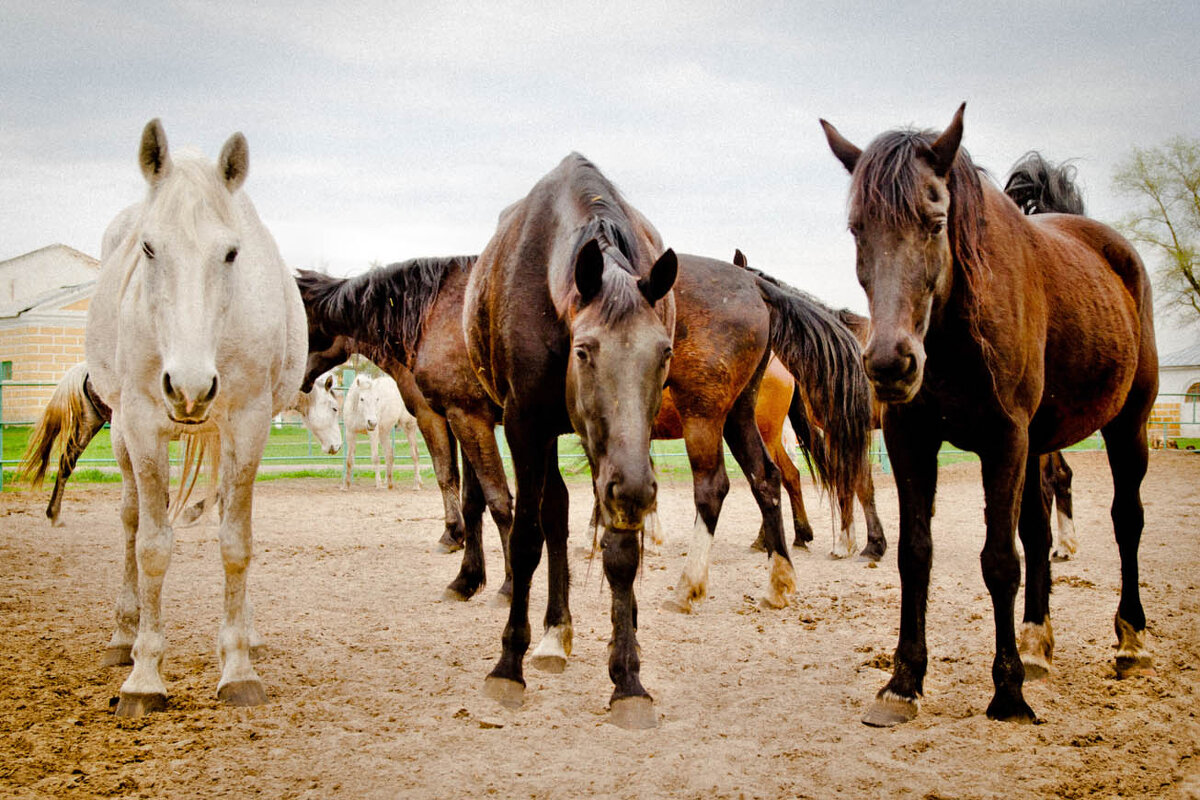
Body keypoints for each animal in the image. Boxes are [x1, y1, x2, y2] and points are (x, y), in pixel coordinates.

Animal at [85, 117, 307, 714]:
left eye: (231, 253)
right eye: (148, 247)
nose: (188, 387)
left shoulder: (249, 424)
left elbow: (236, 544)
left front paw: (237, 667)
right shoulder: (141, 424)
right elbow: (152, 547)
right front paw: (144, 676)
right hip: (122, 434)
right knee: (131, 520)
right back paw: (123, 636)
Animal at [465, 153, 681, 729]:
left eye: (664, 352)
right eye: (584, 351)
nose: (635, 491)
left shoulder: (620, 464)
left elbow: (621, 551)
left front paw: (628, 678)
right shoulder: (524, 425)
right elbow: (526, 539)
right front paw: (507, 665)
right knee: (551, 516)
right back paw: (552, 632)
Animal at [820, 104, 1156, 724]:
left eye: (935, 221)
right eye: (858, 228)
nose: (890, 363)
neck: (954, 334)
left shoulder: (1004, 441)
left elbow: (1000, 560)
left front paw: (1008, 692)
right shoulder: (911, 440)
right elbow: (915, 555)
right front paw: (903, 682)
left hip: (1128, 428)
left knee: (1127, 520)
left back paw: (1130, 640)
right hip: (1041, 443)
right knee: (1040, 528)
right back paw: (1038, 643)